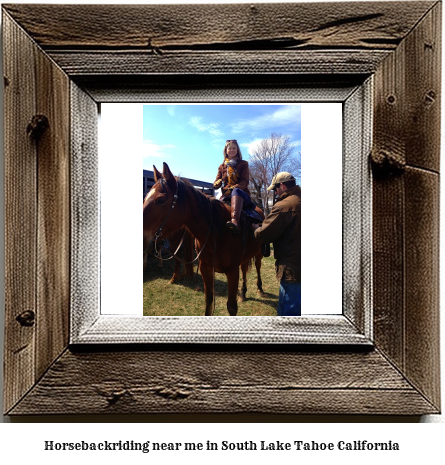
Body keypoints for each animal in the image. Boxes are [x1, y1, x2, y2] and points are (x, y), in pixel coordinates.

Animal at [144, 163, 266, 316]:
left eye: (161, 200)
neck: (217, 232)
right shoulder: (205, 268)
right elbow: (208, 300)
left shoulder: (232, 271)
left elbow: (232, 307)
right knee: (244, 269)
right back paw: (243, 293)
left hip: (259, 253)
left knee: (258, 267)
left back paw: (260, 289)